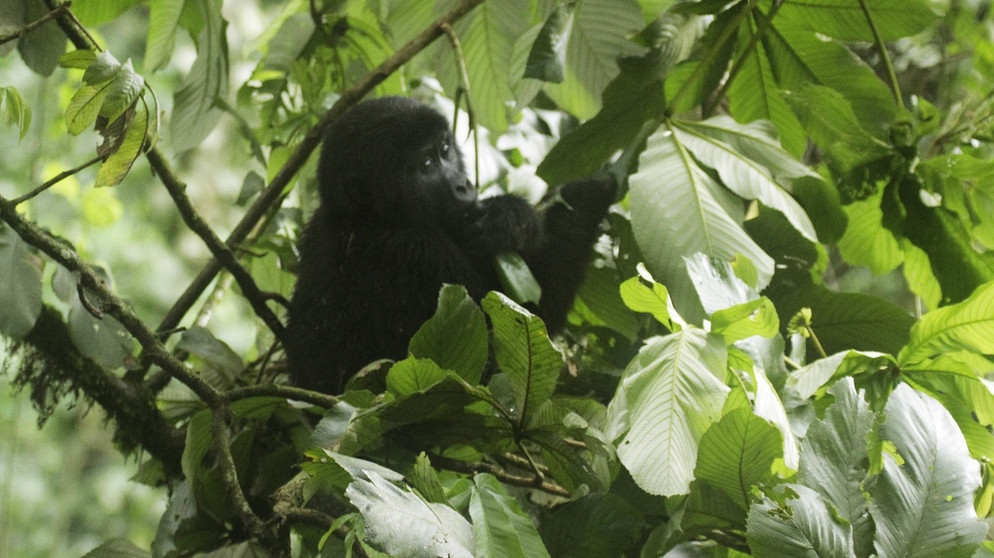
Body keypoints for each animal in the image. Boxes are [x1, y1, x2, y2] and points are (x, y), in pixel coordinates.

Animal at [282, 97, 616, 394]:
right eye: (426, 164)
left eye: (445, 150)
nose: (464, 186)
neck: (365, 218)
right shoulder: (417, 252)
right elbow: (527, 322)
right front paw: (590, 191)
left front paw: (511, 220)